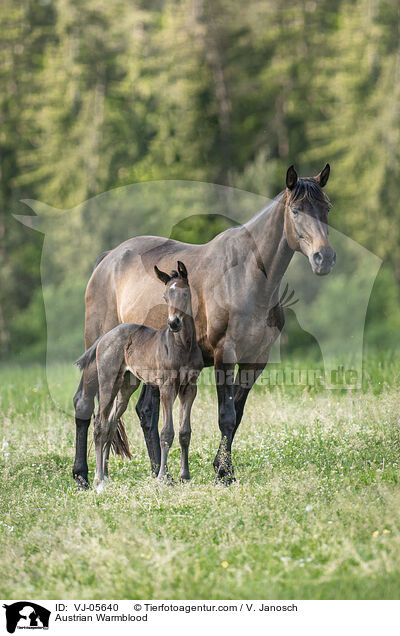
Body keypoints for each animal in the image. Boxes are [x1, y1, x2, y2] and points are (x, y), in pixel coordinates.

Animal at [76, 260, 203, 490]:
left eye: (185, 293)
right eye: (165, 296)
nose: (174, 323)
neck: (183, 346)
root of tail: (104, 338)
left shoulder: (190, 387)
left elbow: (184, 432)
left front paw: (185, 476)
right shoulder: (167, 386)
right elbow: (166, 432)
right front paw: (163, 477)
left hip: (126, 387)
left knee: (110, 426)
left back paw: (105, 475)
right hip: (108, 383)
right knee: (99, 425)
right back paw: (98, 479)